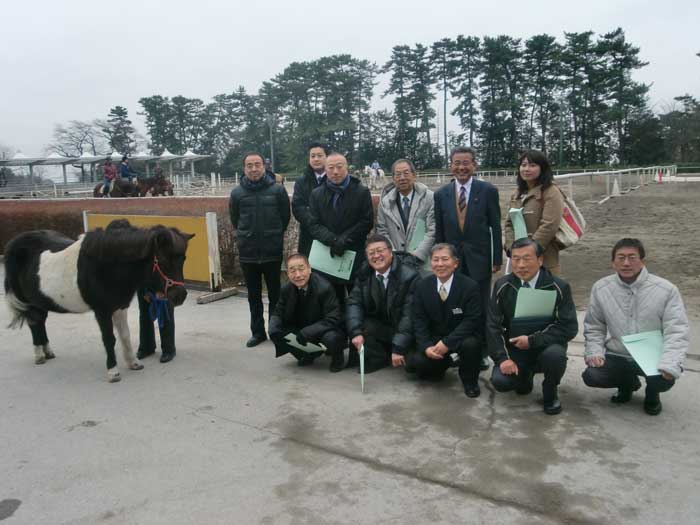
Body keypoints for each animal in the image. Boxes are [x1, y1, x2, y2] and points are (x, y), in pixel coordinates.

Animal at [3, 218, 194, 380]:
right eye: (162, 260)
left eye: (183, 259)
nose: (180, 295)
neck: (106, 266)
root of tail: (14, 244)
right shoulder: (102, 311)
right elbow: (109, 339)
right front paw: (113, 371)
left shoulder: (120, 307)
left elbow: (125, 335)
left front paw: (133, 363)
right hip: (27, 301)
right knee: (34, 323)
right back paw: (39, 355)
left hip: (39, 301)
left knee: (40, 322)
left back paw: (48, 352)